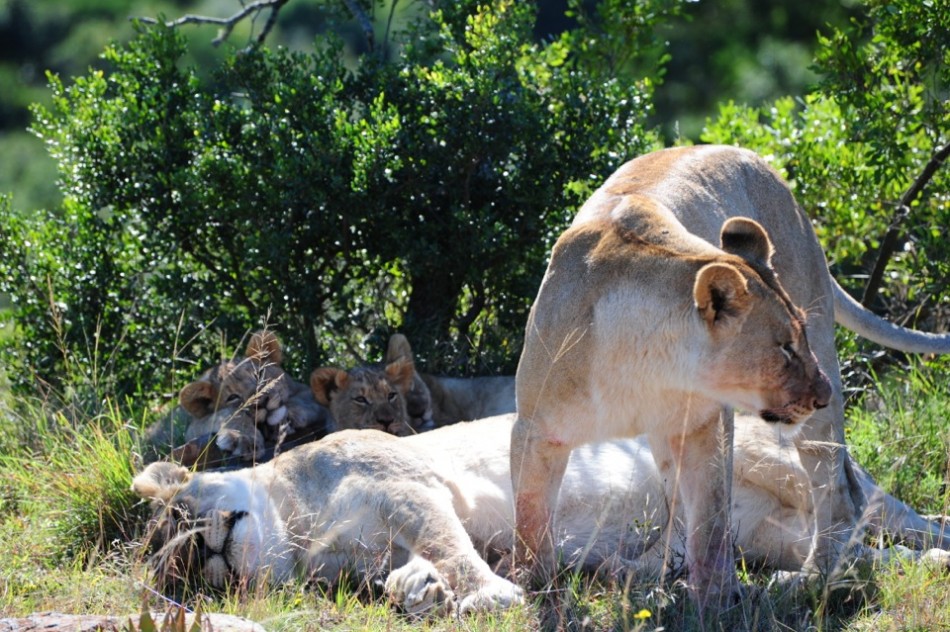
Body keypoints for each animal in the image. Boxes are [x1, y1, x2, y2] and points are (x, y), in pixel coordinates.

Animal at [511, 145, 950, 609]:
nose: (825, 394)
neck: (643, 366)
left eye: (800, 337)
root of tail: (752, 156)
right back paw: (653, 574)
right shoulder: (535, 431)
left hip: (814, 409)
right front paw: (536, 593)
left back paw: (815, 577)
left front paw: (716, 600)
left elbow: (711, 521)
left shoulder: (707, 428)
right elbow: (530, 523)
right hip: (664, 438)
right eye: (784, 347)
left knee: (837, 494)